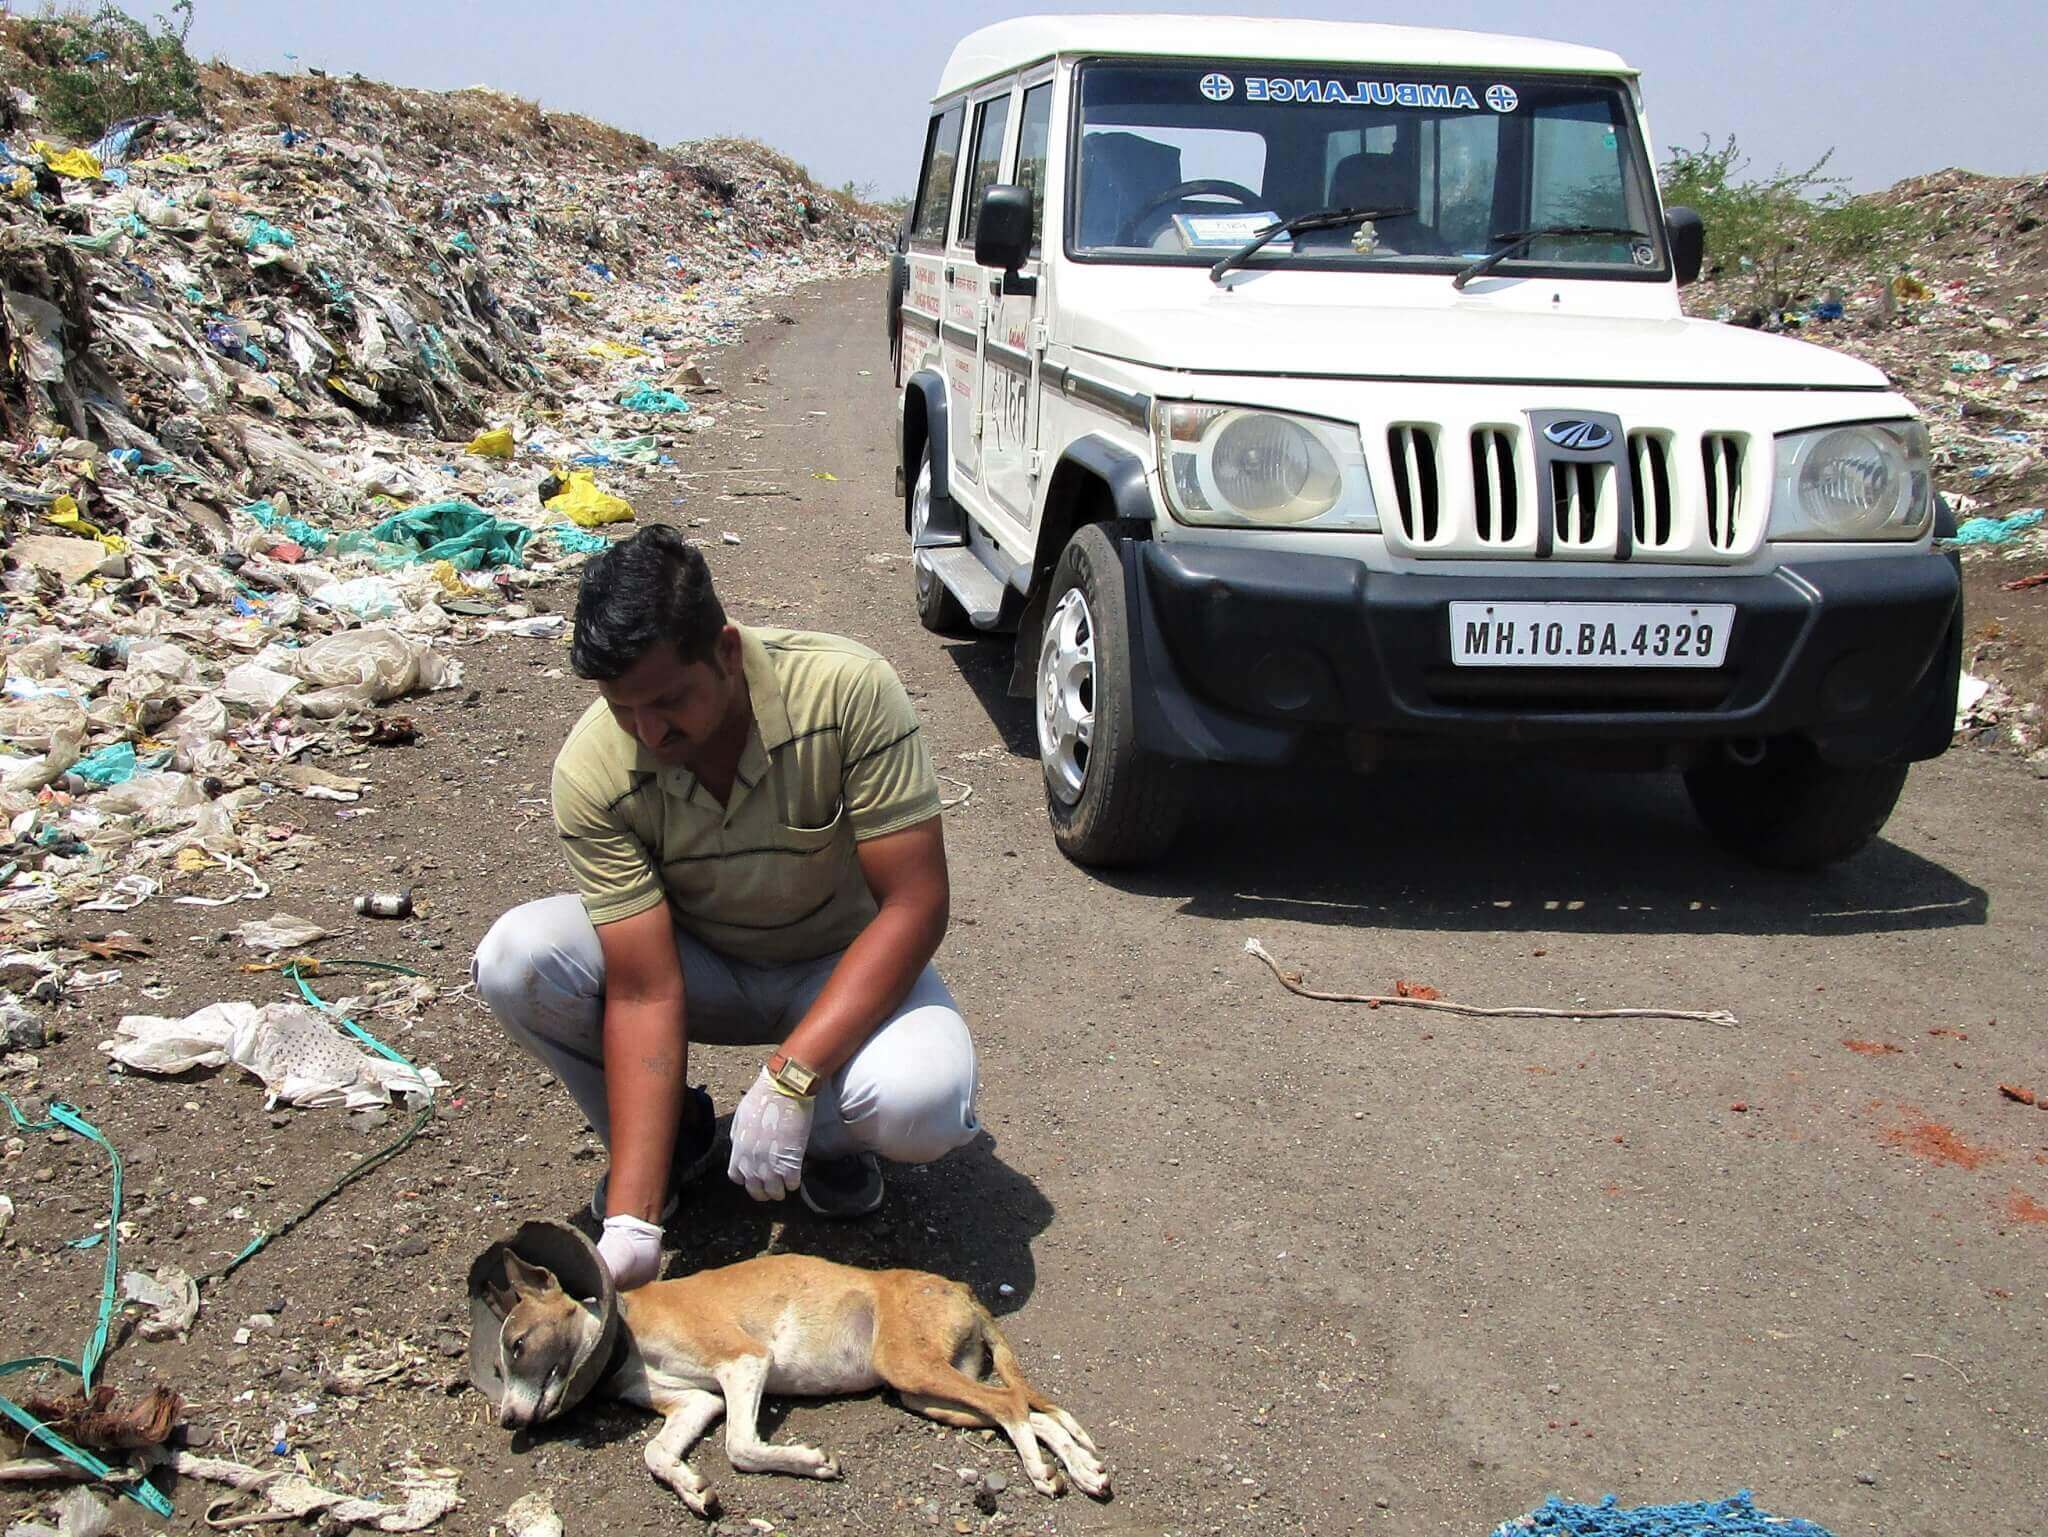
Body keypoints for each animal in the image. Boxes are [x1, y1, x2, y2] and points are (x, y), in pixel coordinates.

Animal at [487, 1254, 1114, 1524]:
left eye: (516, 1344)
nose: (508, 1421)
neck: (623, 1334)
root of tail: (959, 1286)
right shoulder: (698, 1402)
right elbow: (656, 1453)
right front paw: (693, 1488)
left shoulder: (744, 1362)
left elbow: (741, 1447)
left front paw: (810, 1462)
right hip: (929, 1391)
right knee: (1030, 1412)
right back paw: (1083, 1469)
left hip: (913, 1370)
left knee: (1012, 1404)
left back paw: (1043, 1473)